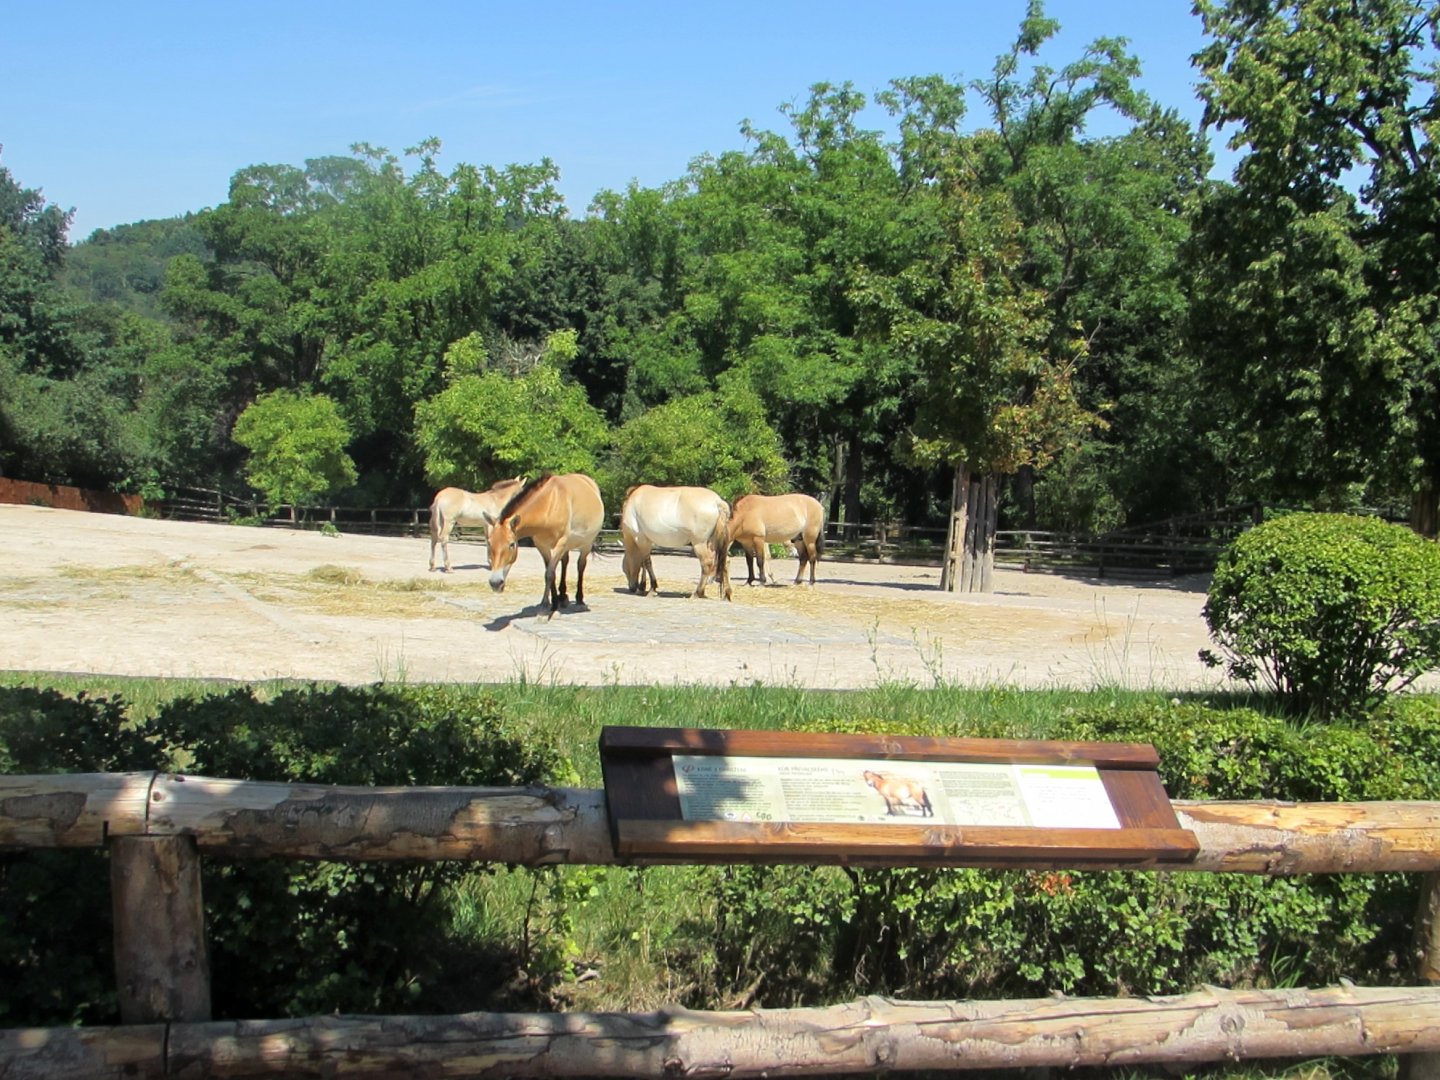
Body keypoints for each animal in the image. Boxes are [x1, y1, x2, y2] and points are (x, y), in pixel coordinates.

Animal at [481, 473, 605, 617]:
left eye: (511, 544)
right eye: (489, 543)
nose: (495, 583)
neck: (549, 505)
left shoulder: (560, 544)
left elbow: (549, 573)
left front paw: (545, 606)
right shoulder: (542, 546)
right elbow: (550, 572)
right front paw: (554, 602)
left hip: (586, 545)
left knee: (581, 566)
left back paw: (580, 601)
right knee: (565, 562)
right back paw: (563, 597)